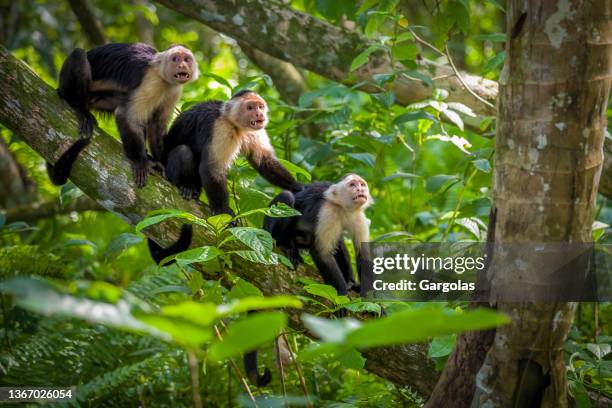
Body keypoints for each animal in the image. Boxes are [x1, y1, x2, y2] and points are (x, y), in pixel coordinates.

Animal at [49, 42, 201, 186]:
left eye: (186, 59)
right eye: (175, 59)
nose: (182, 65)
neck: (163, 77)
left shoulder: (174, 90)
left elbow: (156, 124)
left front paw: (161, 162)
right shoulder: (151, 81)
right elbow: (127, 115)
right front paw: (140, 161)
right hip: (67, 88)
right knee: (78, 55)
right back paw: (78, 107)